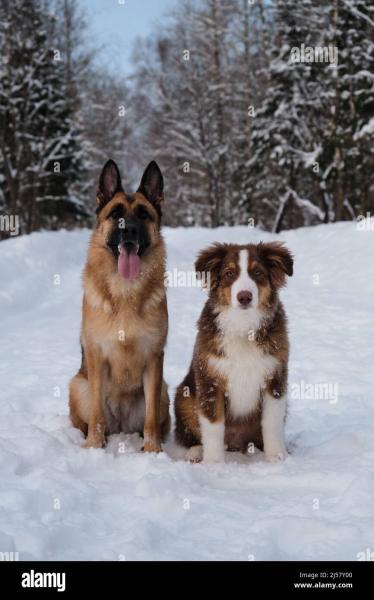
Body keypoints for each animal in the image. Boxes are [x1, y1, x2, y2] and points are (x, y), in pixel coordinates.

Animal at [68, 159, 169, 450]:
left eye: (144, 215)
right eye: (115, 214)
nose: (130, 230)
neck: (125, 291)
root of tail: (122, 425)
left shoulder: (154, 358)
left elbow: (150, 419)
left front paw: (153, 450)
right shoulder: (96, 357)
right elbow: (97, 414)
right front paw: (93, 446)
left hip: (164, 391)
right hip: (77, 386)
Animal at [174, 241, 294, 462]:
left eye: (258, 272)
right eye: (229, 273)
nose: (244, 297)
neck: (243, 327)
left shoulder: (275, 377)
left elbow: (272, 422)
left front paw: (276, 456)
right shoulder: (210, 380)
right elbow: (213, 425)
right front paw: (214, 463)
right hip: (184, 397)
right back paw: (196, 452)